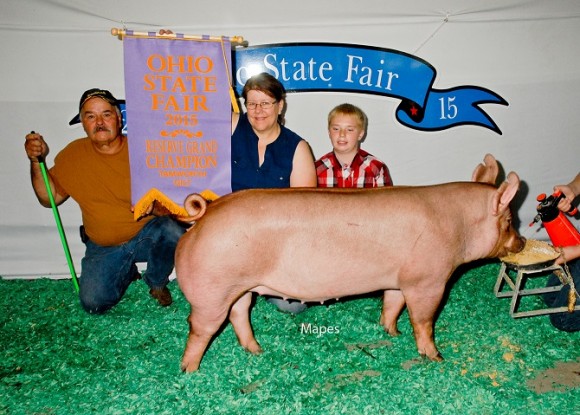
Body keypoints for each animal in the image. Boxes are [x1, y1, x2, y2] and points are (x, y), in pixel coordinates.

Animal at [173, 154, 524, 374]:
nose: (521, 243)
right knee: (199, 327)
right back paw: (189, 371)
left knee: (239, 313)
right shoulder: (429, 281)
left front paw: (391, 332)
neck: (458, 225)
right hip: (211, 291)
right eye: (509, 221)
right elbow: (423, 321)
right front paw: (436, 357)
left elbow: (392, 305)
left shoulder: (400, 279)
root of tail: (205, 214)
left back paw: (256, 351)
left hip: (239, 286)